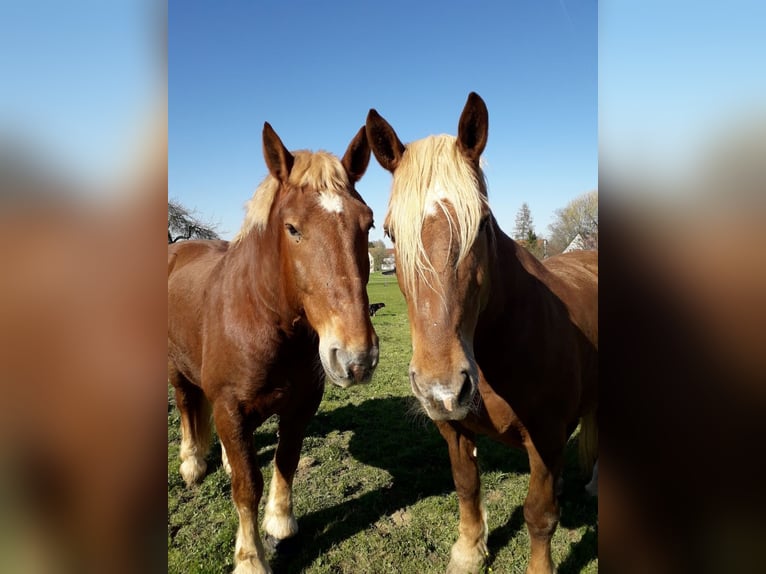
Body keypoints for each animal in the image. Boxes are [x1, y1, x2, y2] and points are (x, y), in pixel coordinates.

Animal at [170, 122, 380, 574]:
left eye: (368, 224)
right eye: (292, 228)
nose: (356, 358)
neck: (264, 322)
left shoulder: (299, 406)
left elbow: (286, 462)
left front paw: (280, 525)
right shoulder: (230, 406)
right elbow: (247, 485)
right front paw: (251, 558)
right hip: (177, 370)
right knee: (186, 404)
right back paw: (192, 462)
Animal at [368, 92, 600, 572]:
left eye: (483, 224)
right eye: (391, 233)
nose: (441, 388)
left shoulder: (545, 439)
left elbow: (539, 515)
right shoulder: (455, 430)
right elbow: (466, 487)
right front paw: (469, 552)